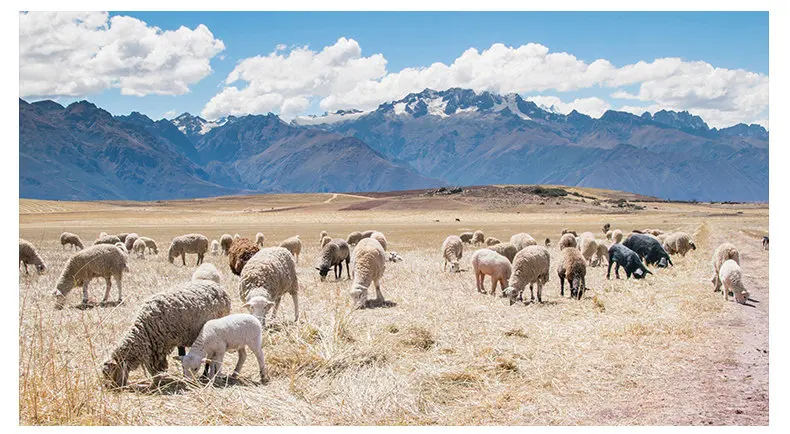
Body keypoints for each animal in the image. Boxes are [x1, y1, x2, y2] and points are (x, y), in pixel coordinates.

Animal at [103, 262, 232, 388]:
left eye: (112, 371)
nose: (112, 387)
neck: (145, 330)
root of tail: (217, 285)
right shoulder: (159, 345)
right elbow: (177, 356)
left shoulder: (159, 346)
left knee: (209, 358)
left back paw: (204, 375)